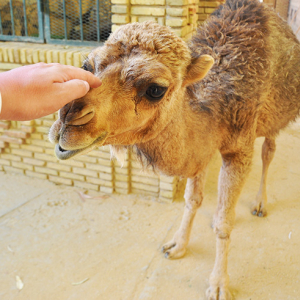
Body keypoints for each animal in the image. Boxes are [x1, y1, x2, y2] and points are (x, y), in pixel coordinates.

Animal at [49, 1, 300, 298]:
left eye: (155, 89)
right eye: (86, 65)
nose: (68, 120)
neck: (218, 104)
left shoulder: (239, 149)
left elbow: (224, 222)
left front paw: (218, 284)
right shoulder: (203, 150)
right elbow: (193, 200)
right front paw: (178, 246)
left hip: (275, 118)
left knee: (269, 150)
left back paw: (260, 204)